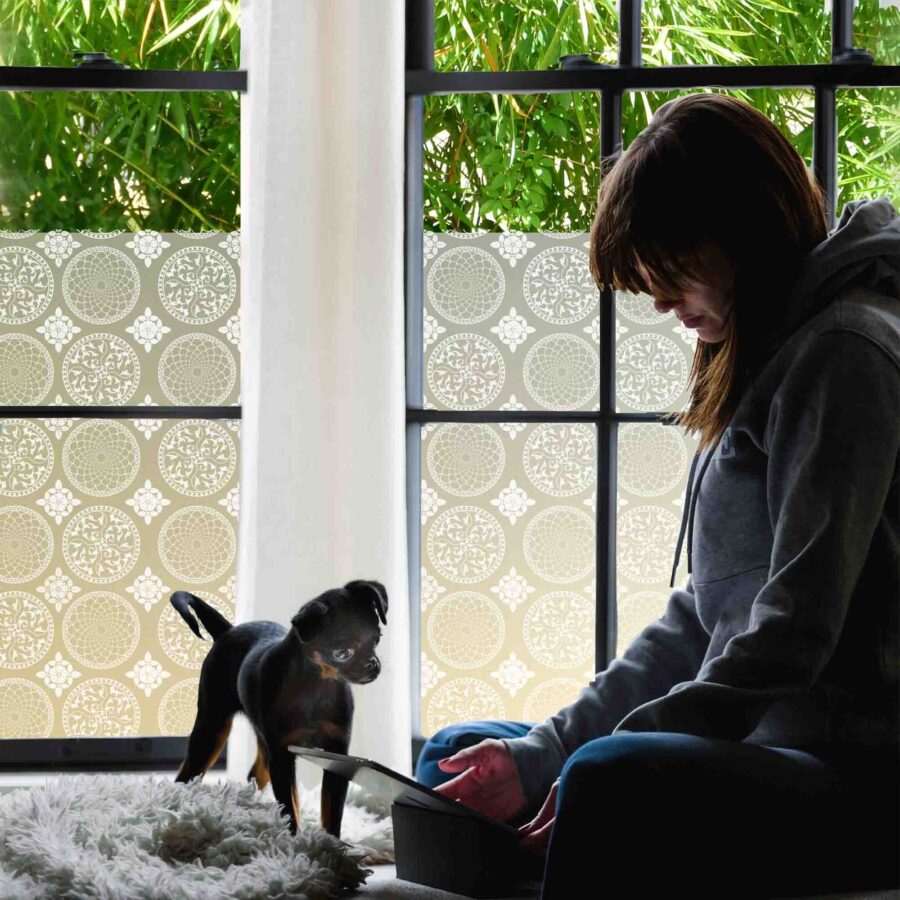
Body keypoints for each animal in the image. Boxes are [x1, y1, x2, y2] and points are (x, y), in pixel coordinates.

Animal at [169, 580, 386, 840]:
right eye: (343, 653)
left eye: (377, 640)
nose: (373, 665)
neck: (317, 683)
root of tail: (227, 630)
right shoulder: (282, 756)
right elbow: (290, 806)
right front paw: (295, 841)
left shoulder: (337, 755)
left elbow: (331, 810)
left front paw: (332, 844)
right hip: (212, 728)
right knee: (188, 774)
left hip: (258, 737)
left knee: (256, 773)